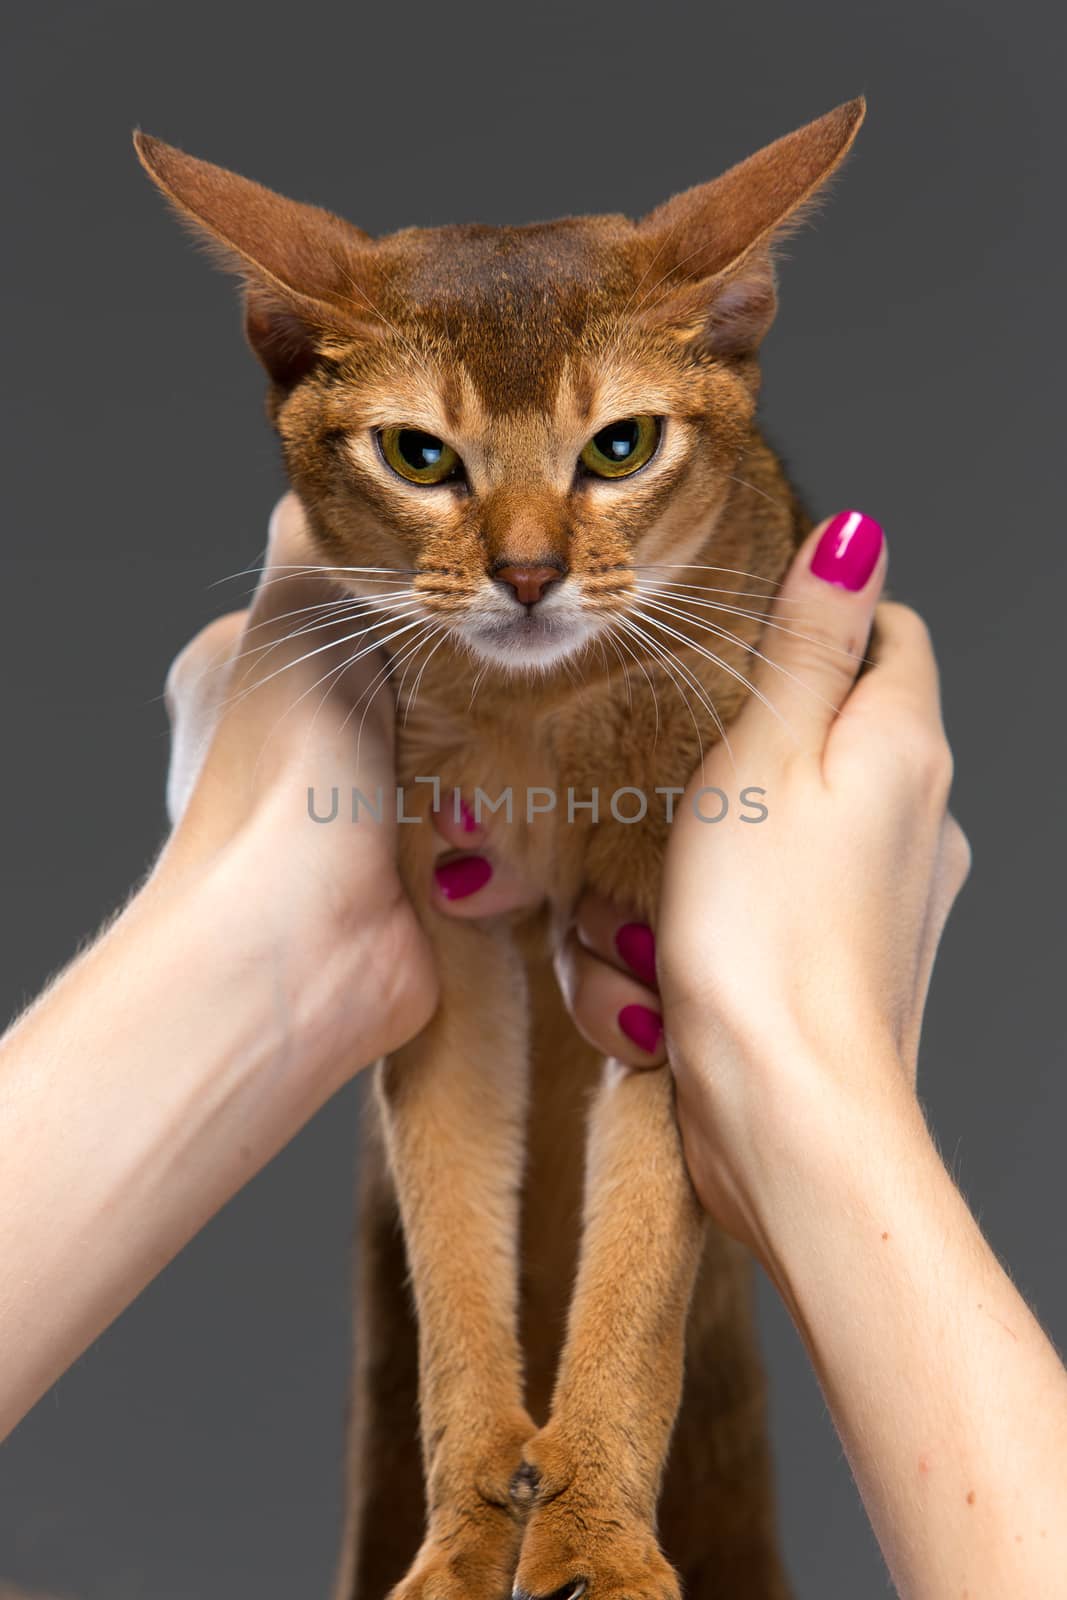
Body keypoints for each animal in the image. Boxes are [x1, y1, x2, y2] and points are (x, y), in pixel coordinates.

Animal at [135, 100, 870, 1600]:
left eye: (619, 447)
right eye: (420, 457)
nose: (527, 575)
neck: (539, 726)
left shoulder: (651, 942)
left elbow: (636, 1267)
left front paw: (591, 1527)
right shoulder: (449, 932)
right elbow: (453, 1257)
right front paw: (475, 1526)